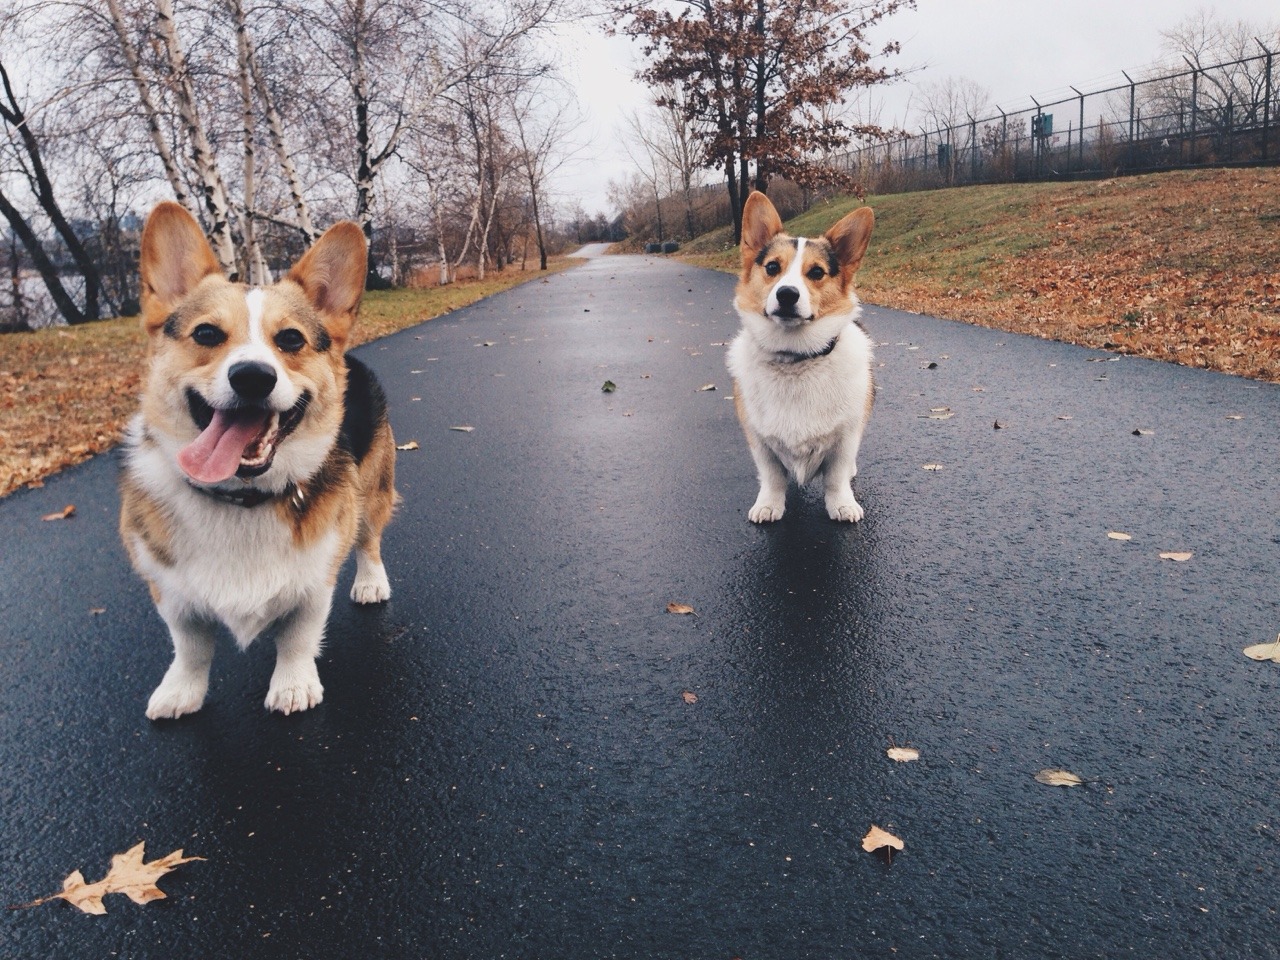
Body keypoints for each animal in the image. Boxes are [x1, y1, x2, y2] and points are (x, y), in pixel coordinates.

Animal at [123, 203, 399, 716]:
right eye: (206, 333)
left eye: (290, 340)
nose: (252, 376)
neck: (241, 498)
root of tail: (353, 356)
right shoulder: (171, 591)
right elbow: (189, 645)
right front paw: (181, 691)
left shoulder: (314, 581)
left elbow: (297, 636)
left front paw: (292, 685)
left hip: (373, 490)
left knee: (369, 539)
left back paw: (371, 583)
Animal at [727, 192, 875, 527]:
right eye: (772, 267)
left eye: (816, 272)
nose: (787, 294)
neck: (795, 359)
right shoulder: (759, 440)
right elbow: (772, 477)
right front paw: (768, 505)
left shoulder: (845, 437)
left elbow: (836, 477)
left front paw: (842, 505)